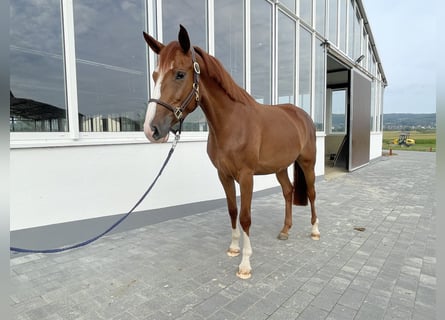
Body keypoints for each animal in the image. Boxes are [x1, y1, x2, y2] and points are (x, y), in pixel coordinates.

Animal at [142, 25, 320, 278]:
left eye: (179, 74)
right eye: (155, 76)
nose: (151, 129)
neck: (232, 123)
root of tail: (301, 115)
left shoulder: (246, 177)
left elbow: (245, 217)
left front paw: (245, 264)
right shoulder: (223, 175)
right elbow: (233, 211)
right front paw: (234, 248)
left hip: (307, 163)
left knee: (312, 194)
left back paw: (315, 230)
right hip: (280, 167)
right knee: (288, 192)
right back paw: (285, 230)